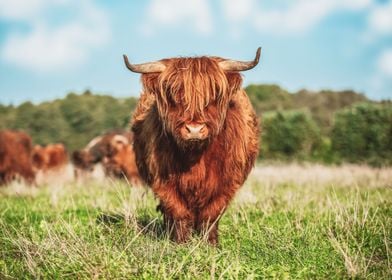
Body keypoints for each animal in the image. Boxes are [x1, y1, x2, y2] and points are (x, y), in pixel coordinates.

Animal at [124, 47, 262, 243]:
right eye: (173, 95)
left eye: (214, 94)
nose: (194, 129)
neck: (195, 156)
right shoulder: (162, 180)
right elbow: (178, 211)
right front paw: (180, 242)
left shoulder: (226, 182)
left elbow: (211, 214)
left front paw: (210, 243)